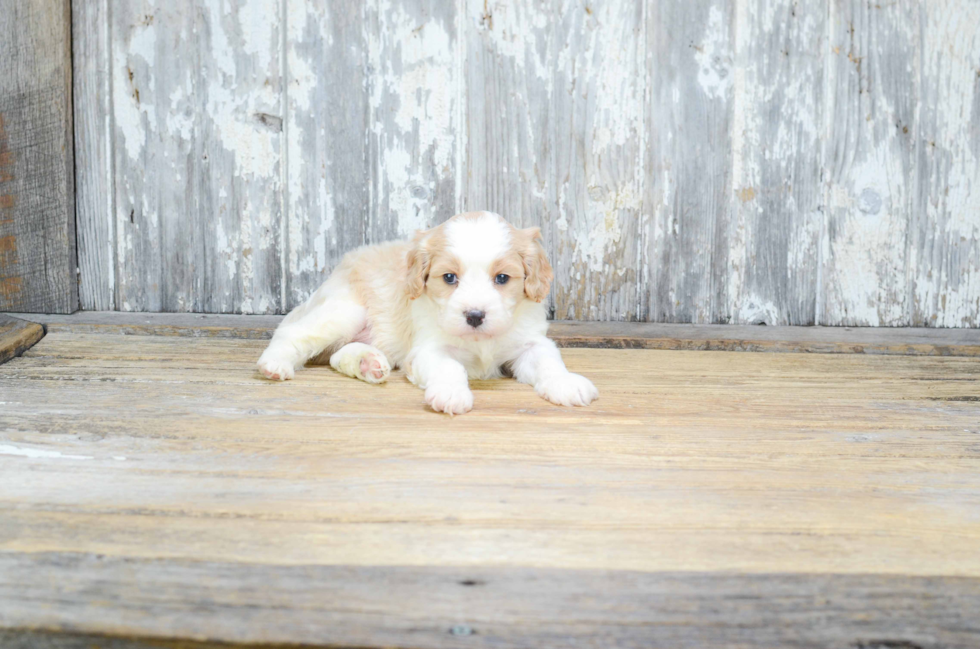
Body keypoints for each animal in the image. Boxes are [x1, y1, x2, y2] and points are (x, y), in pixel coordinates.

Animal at [256, 213, 596, 416]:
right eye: (449, 278)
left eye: (502, 278)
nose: (475, 316)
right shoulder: (428, 350)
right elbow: (449, 367)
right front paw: (450, 393)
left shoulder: (531, 342)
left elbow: (548, 361)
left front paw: (565, 383)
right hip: (344, 311)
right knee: (292, 333)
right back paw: (275, 364)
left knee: (338, 355)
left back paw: (368, 363)